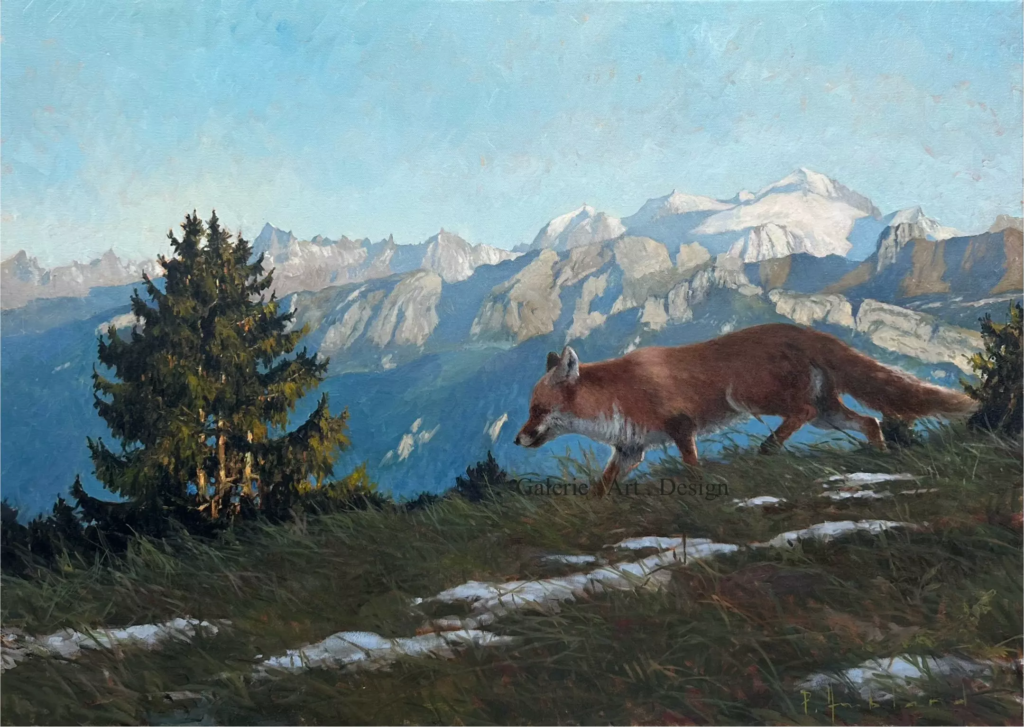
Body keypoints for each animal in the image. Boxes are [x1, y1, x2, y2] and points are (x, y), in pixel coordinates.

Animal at [514, 323, 977, 497]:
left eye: (537, 409)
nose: (517, 439)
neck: (618, 396)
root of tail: (805, 330)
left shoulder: (681, 427)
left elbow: (692, 467)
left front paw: (699, 490)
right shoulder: (631, 450)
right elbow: (602, 486)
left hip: (757, 398)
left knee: (802, 413)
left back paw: (768, 448)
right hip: (830, 412)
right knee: (871, 420)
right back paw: (879, 458)